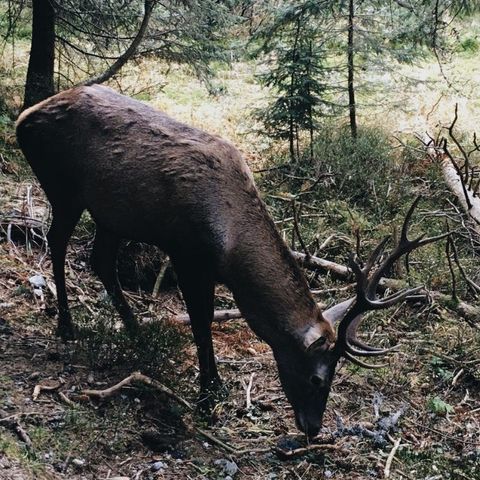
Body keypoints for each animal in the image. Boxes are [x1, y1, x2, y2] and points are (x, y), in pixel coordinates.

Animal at [15, 84, 442, 436]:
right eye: (318, 379)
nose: (314, 428)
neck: (229, 243)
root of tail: (24, 118)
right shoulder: (186, 253)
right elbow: (201, 323)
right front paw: (209, 395)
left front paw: (211, 388)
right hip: (63, 188)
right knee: (57, 243)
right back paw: (66, 325)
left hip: (111, 213)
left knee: (100, 261)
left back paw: (137, 331)